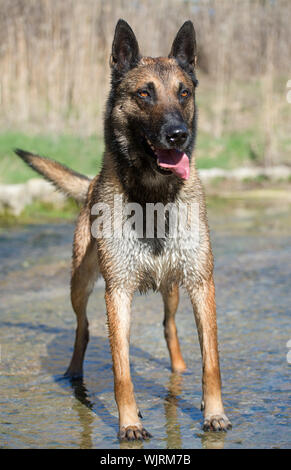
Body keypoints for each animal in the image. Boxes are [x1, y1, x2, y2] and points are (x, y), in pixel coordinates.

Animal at [14, 19, 233, 440]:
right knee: (82, 328)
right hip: (81, 284)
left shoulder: (201, 283)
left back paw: (178, 369)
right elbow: (121, 371)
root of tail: (89, 186)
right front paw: (129, 422)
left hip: (172, 288)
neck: (154, 195)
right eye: (144, 93)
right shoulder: (117, 293)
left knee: (168, 326)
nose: (178, 135)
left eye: (183, 92)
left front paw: (214, 413)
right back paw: (74, 373)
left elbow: (211, 360)